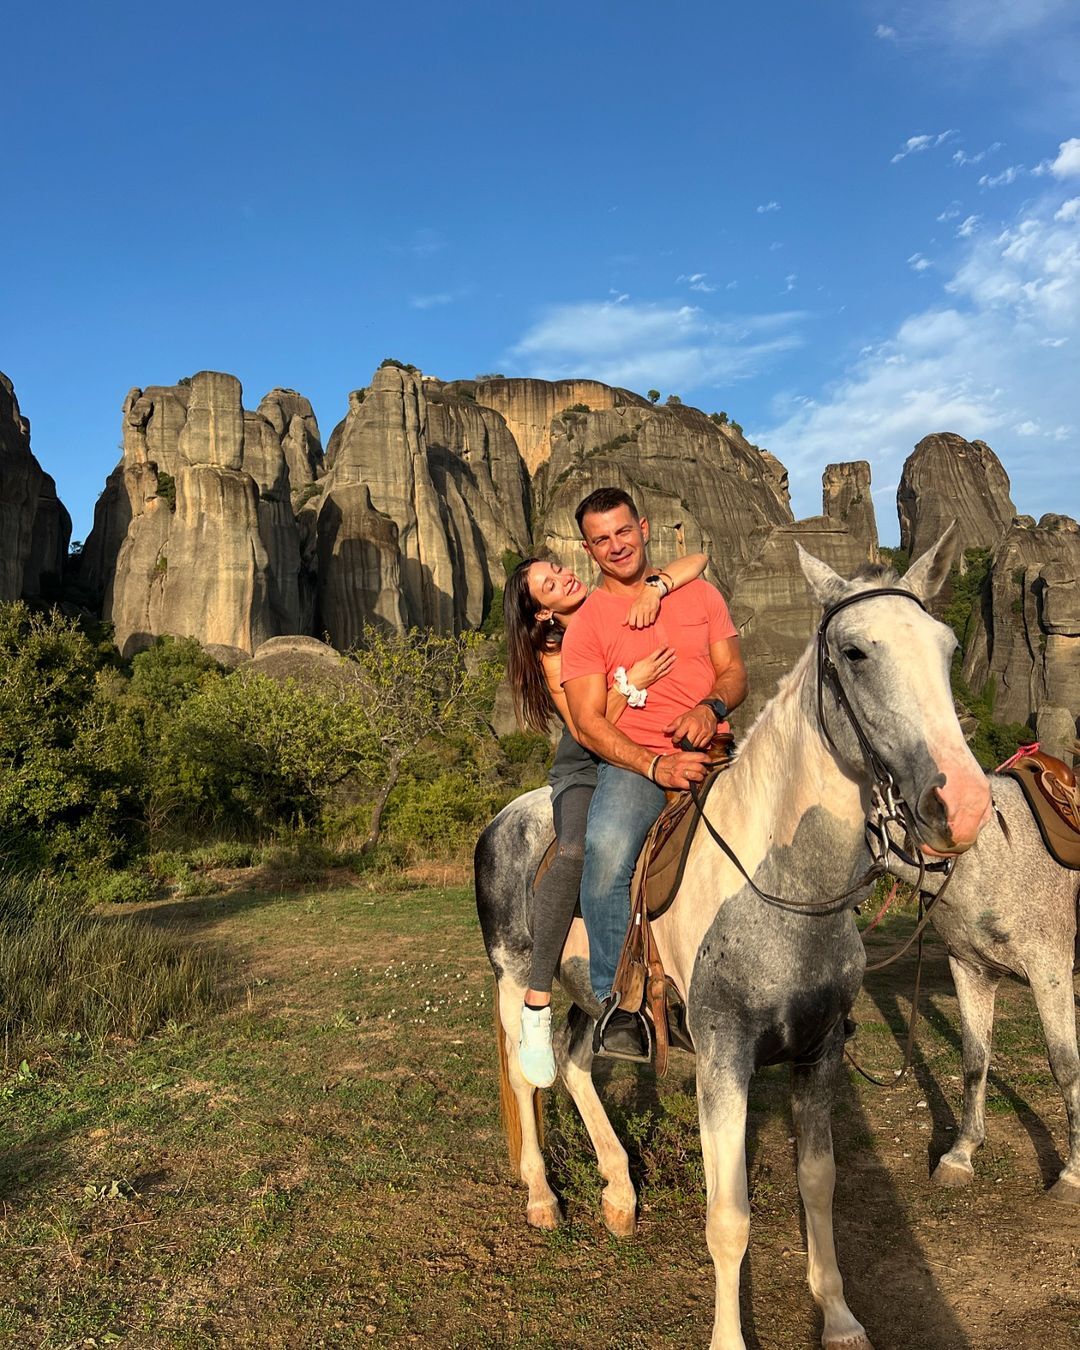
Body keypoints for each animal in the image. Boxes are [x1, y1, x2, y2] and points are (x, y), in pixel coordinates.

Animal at [477, 529, 993, 1350]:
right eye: (855, 652)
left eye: (947, 648)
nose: (964, 806)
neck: (785, 886)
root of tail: (504, 819)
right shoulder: (724, 1058)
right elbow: (729, 1218)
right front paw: (729, 1336)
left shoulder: (819, 1050)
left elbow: (820, 1185)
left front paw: (838, 1317)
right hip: (511, 979)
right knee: (530, 1073)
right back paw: (541, 1198)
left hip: (597, 996)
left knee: (579, 1062)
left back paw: (619, 1193)